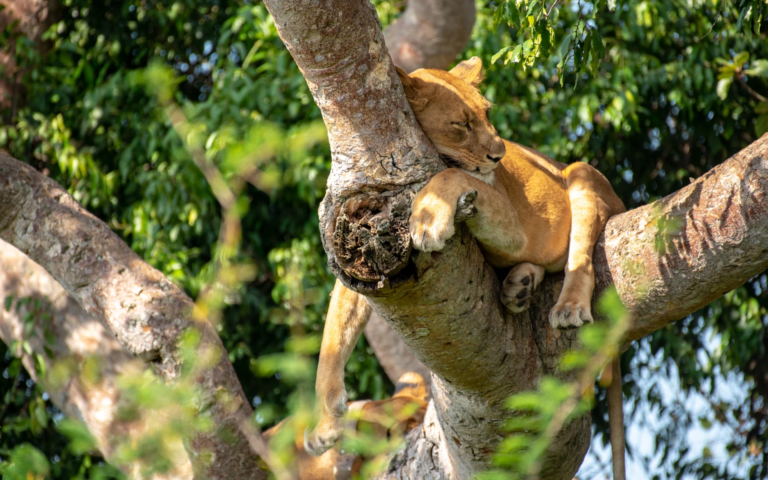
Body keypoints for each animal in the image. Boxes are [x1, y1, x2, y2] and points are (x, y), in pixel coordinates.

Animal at [306, 57, 627, 476]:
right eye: (461, 124)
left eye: (487, 114)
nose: (500, 154)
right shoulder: (363, 257)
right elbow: (333, 335)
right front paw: (324, 425)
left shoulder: (512, 223)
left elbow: (451, 174)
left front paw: (428, 220)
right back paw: (518, 287)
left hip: (583, 175)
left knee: (581, 258)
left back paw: (568, 305)